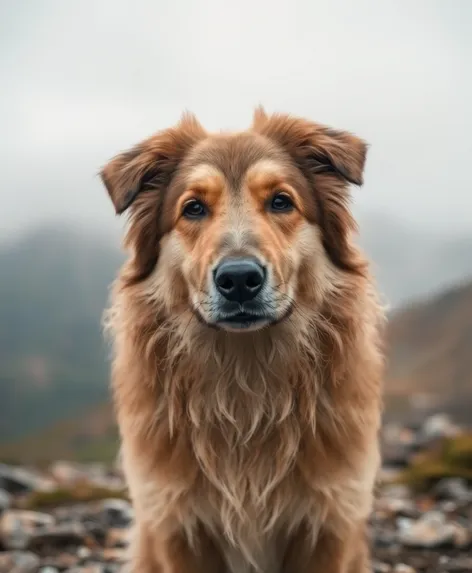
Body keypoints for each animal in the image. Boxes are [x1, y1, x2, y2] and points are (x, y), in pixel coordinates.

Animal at [101, 108, 386, 572]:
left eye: (281, 201)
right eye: (193, 208)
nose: (238, 280)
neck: (245, 375)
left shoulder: (329, 520)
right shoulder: (178, 524)